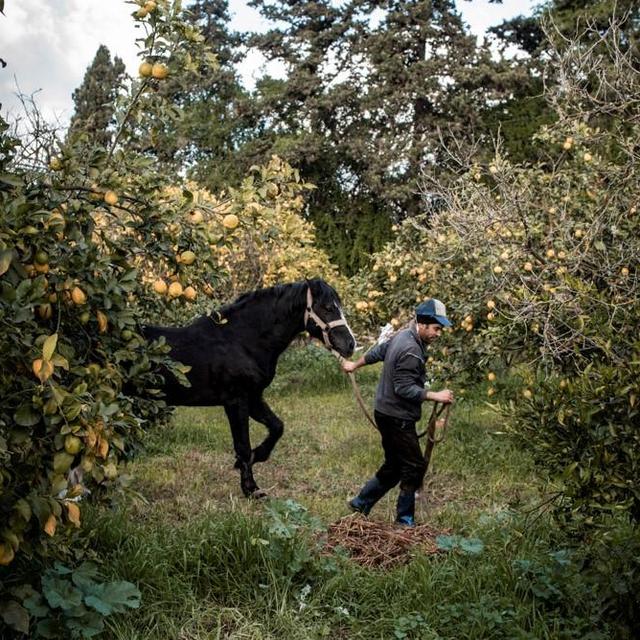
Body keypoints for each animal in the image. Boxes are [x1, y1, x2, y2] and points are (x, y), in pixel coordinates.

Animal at [142, 278, 358, 498]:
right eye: (327, 307)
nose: (350, 344)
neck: (240, 341)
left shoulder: (254, 398)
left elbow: (277, 427)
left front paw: (256, 457)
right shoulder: (236, 401)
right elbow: (243, 445)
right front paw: (251, 489)